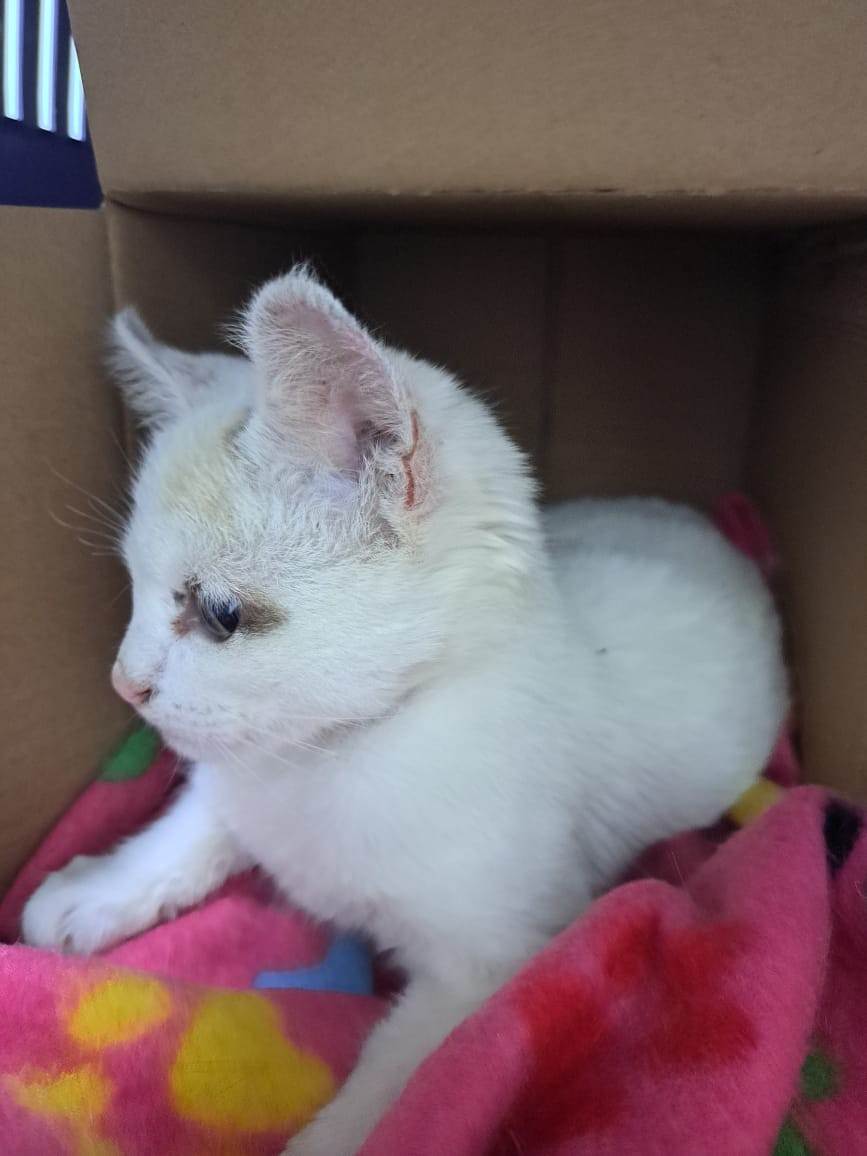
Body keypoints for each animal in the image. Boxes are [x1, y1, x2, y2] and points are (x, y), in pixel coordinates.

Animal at [22, 267, 788, 1156]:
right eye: (135, 589)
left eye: (219, 613)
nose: (123, 682)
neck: (334, 758)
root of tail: (697, 518)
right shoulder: (244, 772)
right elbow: (200, 820)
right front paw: (105, 886)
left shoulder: (486, 967)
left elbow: (392, 1097)